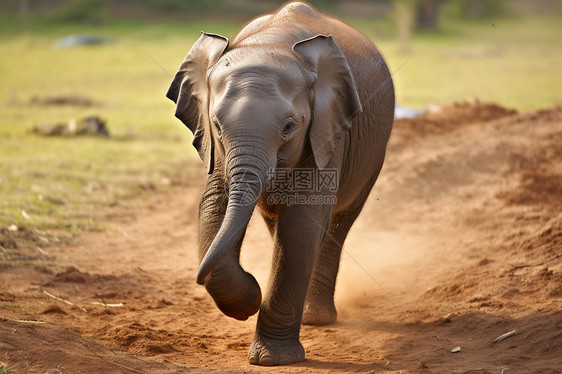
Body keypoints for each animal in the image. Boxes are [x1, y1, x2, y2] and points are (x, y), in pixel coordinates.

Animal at [166, 1, 394, 366]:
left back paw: (316, 318)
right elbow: (214, 203)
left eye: (289, 127)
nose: (194, 277)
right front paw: (249, 299)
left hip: (374, 154)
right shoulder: (214, 146)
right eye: (217, 123)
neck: (271, 43)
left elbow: (302, 221)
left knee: (338, 223)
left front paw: (272, 358)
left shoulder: (327, 128)